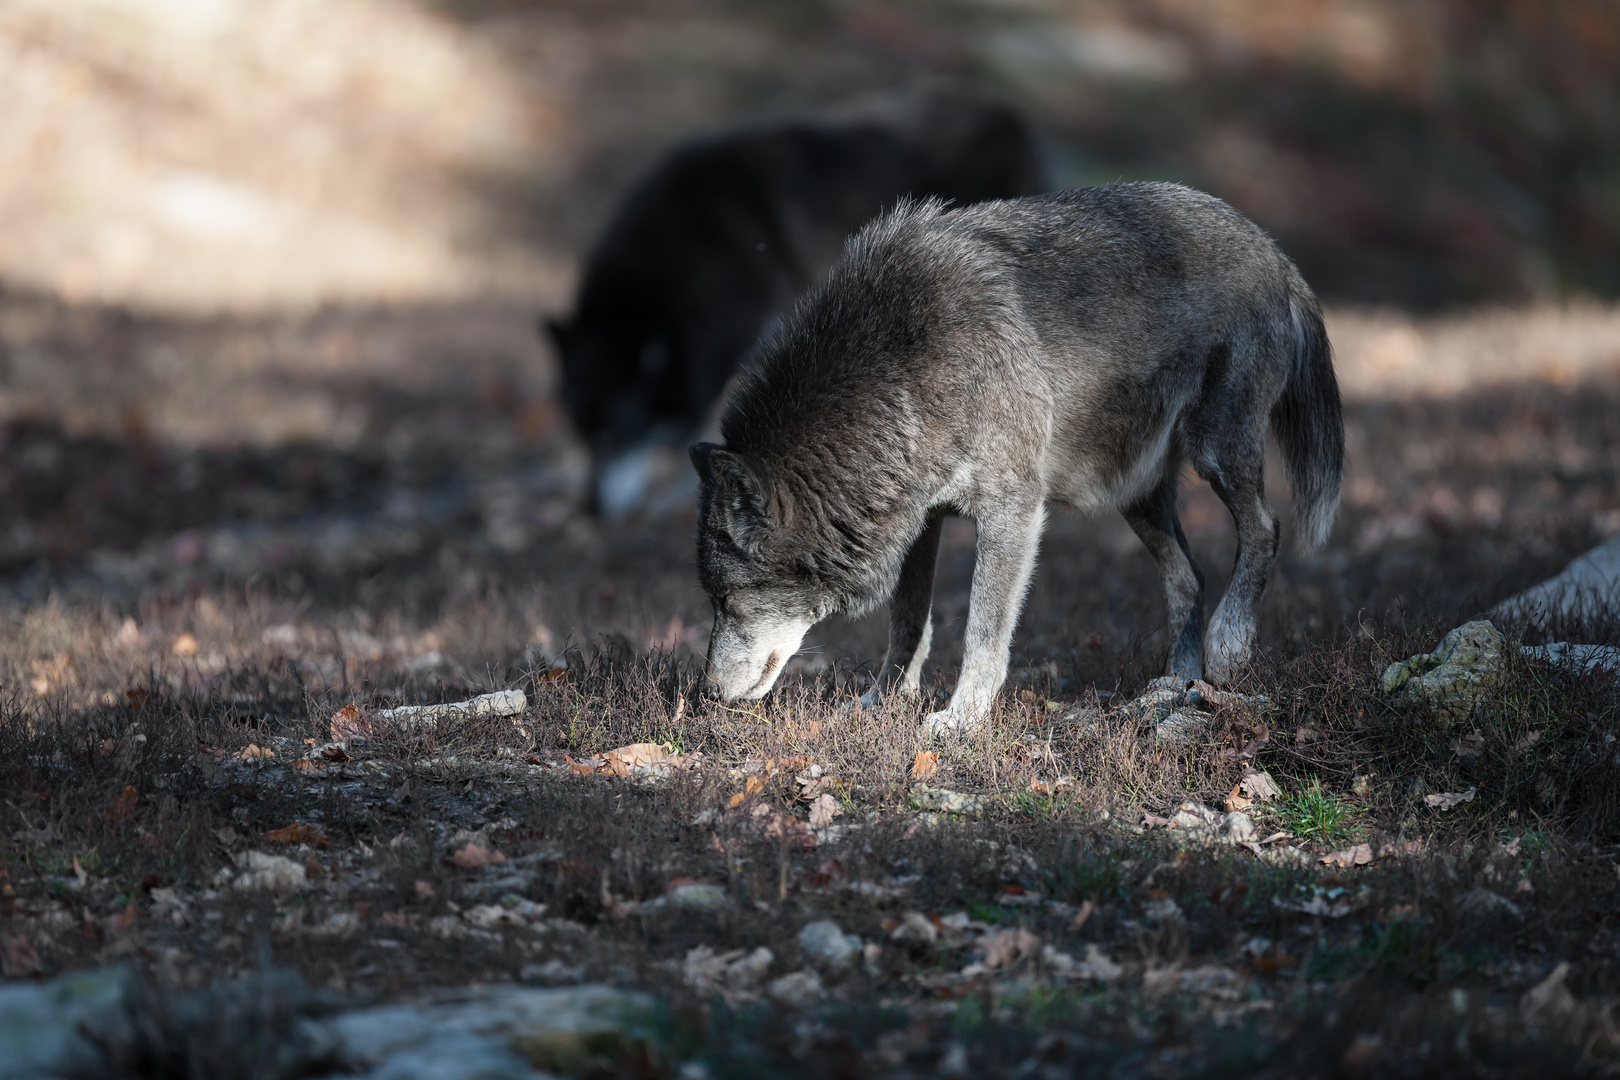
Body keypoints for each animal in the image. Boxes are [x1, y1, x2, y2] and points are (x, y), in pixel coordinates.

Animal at [690, 181, 1347, 735]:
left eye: (726, 600)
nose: (706, 695)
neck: (901, 368)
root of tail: (1277, 254)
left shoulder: (1013, 511)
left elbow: (983, 630)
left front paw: (961, 721)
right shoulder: (922, 520)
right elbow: (908, 624)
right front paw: (883, 703)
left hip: (1216, 452)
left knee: (1266, 527)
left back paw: (1230, 645)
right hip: (1135, 497)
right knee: (1190, 576)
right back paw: (1173, 687)